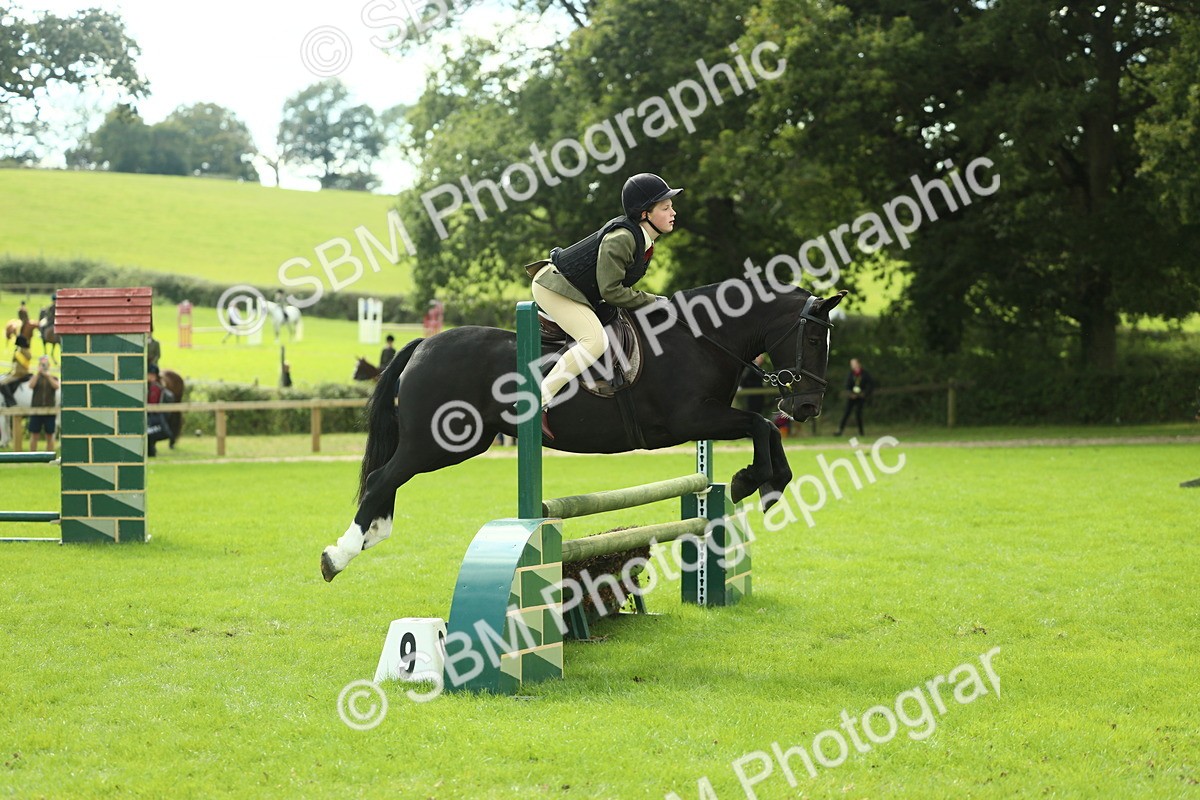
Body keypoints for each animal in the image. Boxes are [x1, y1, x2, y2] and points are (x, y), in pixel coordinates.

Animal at [320, 280, 847, 581]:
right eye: (813, 336)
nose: (806, 406)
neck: (702, 338)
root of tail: (424, 345)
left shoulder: (706, 417)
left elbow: (766, 429)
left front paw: (758, 482)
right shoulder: (691, 419)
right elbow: (762, 424)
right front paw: (758, 483)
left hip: (458, 444)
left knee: (388, 478)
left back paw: (370, 537)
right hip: (438, 442)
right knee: (382, 478)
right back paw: (339, 555)